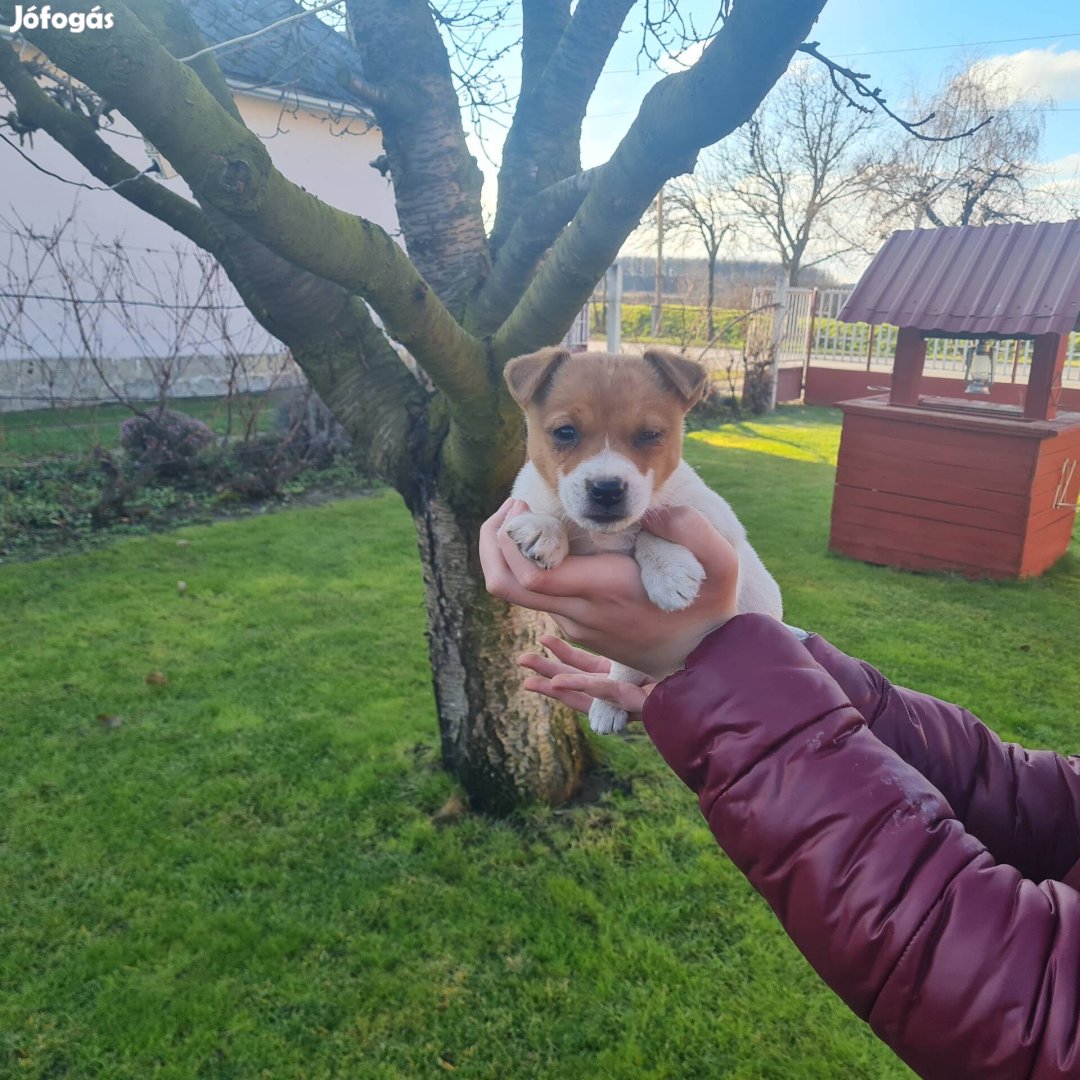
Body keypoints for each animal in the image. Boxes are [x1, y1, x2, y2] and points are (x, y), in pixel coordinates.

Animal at [501, 345, 781, 734]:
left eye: (649, 435)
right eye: (565, 432)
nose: (606, 489)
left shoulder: (715, 516)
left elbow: (654, 524)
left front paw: (668, 570)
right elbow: (551, 507)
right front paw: (544, 528)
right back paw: (607, 703)